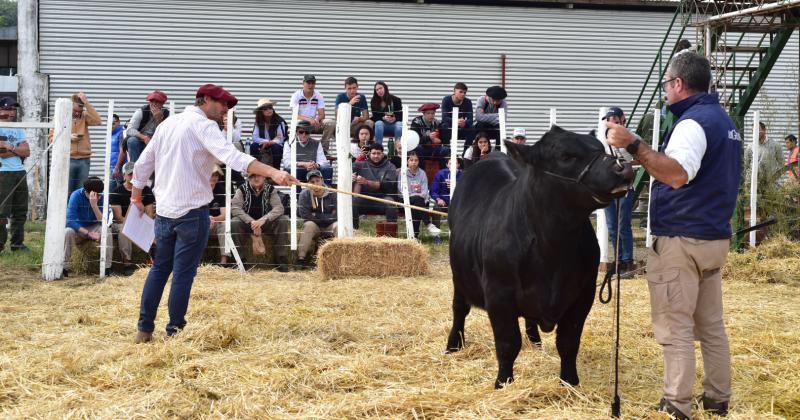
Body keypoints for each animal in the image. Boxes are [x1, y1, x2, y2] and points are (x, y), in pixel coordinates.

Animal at [446, 126, 636, 388]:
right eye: (566, 156)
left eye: (600, 147)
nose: (623, 168)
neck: (554, 248)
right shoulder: (498, 293)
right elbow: (508, 342)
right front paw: (503, 382)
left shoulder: (583, 295)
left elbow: (568, 342)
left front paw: (570, 382)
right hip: (459, 275)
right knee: (459, 308)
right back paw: (453, 344)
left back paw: (535, 340)